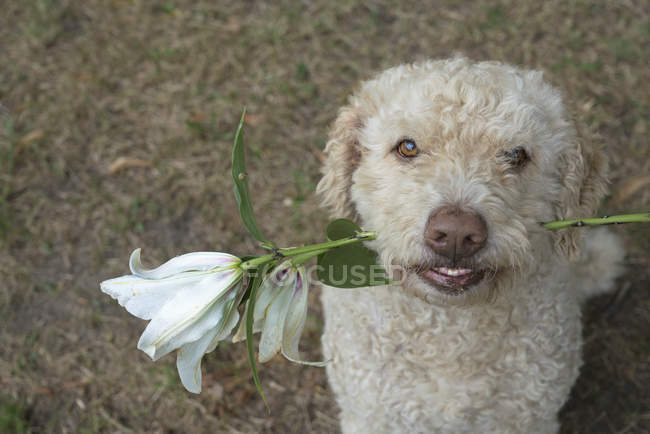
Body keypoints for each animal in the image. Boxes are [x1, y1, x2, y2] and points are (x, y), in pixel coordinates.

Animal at [314, 56, 624, 430]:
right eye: (407, 147)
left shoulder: (528, 417)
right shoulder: (373, 415)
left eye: (516, 155)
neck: (451, 331)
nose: (456, 234)